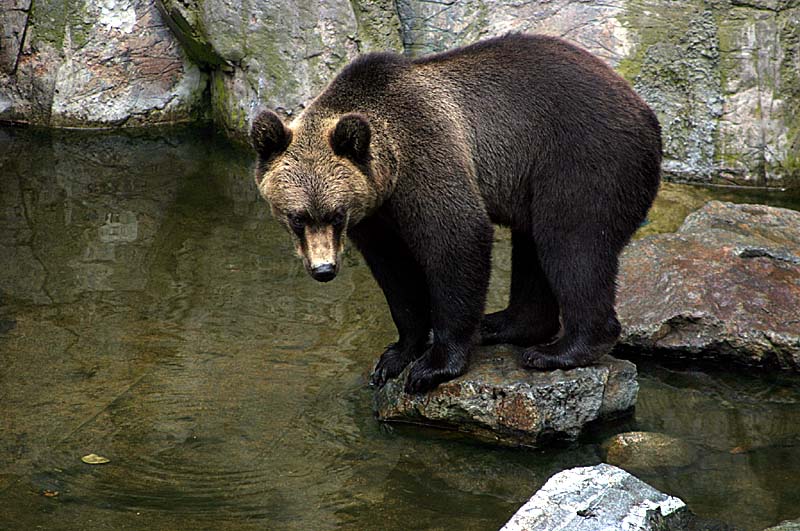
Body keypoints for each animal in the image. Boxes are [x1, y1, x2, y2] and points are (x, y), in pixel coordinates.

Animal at [252, 31, 664, 392]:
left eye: (335, 214)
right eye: (297, 216)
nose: (324, 269)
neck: (389, 172)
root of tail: (647, 112)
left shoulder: (425, 153)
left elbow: (457, 237)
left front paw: (433, 366)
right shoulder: (374, 216)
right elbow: (395, 273)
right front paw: (394, 356)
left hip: (583, 159)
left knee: (571, 244)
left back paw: (559, 351)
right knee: (533, 247)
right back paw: (503, 324)